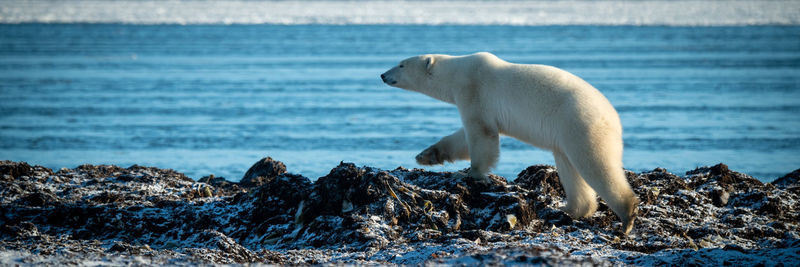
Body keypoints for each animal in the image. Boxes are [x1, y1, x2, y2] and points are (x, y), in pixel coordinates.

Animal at [384, 52, 640, 234]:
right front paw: (427, 155)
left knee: (595, 164)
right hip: (567, 135)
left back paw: (626, 216)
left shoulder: (474, 92)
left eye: (401, 64)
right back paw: (570, 209)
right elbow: (463, 137)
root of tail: (614, 117)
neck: (458, 72)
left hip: (580, 124)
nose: (382, 75)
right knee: (569, 167)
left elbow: (481, 134)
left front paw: (470, 173)